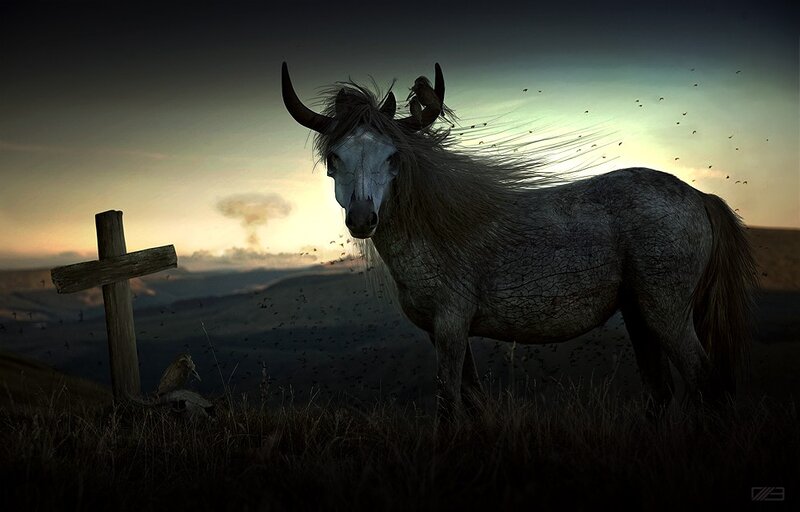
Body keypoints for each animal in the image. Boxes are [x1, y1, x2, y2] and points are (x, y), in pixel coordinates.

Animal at [281, 62, 757, 418]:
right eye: (334, 157)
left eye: (393, 156)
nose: (363, 219)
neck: (436, 227)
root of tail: (700, 196)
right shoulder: (444, 332)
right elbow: (472, 399)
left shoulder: (450, 327)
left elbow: (448, 405)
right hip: (640, 317)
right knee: (661, 393)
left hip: (668, 314)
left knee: (705, 384)